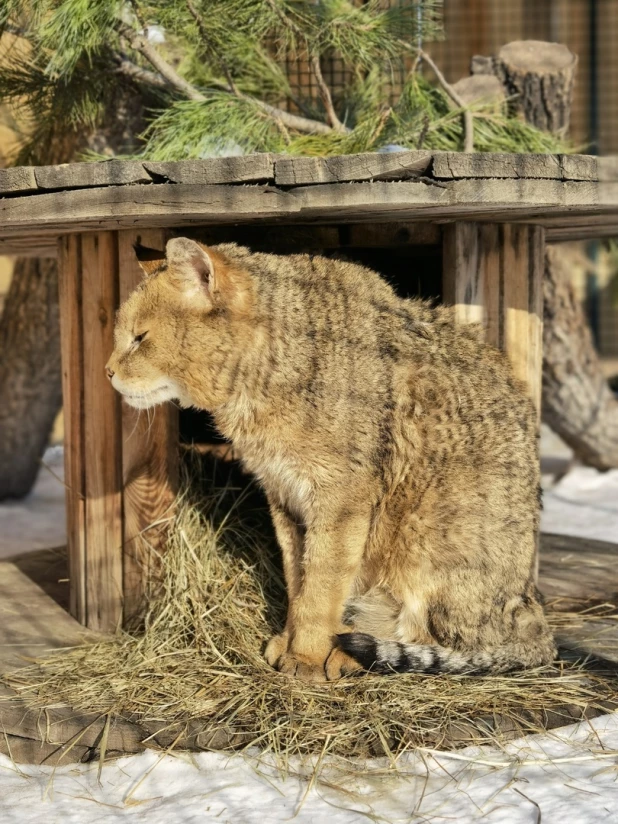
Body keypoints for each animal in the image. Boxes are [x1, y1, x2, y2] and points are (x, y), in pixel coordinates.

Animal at [106, 237, 552, 684]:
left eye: (139, 338)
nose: (108, 372)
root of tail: (534, 614)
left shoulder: (339, 501)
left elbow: (321, 589)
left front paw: (306, 656)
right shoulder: (286, 499)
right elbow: (298, 581)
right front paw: (292, 642)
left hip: (426, 536)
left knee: (441, 642)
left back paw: (354, 655)